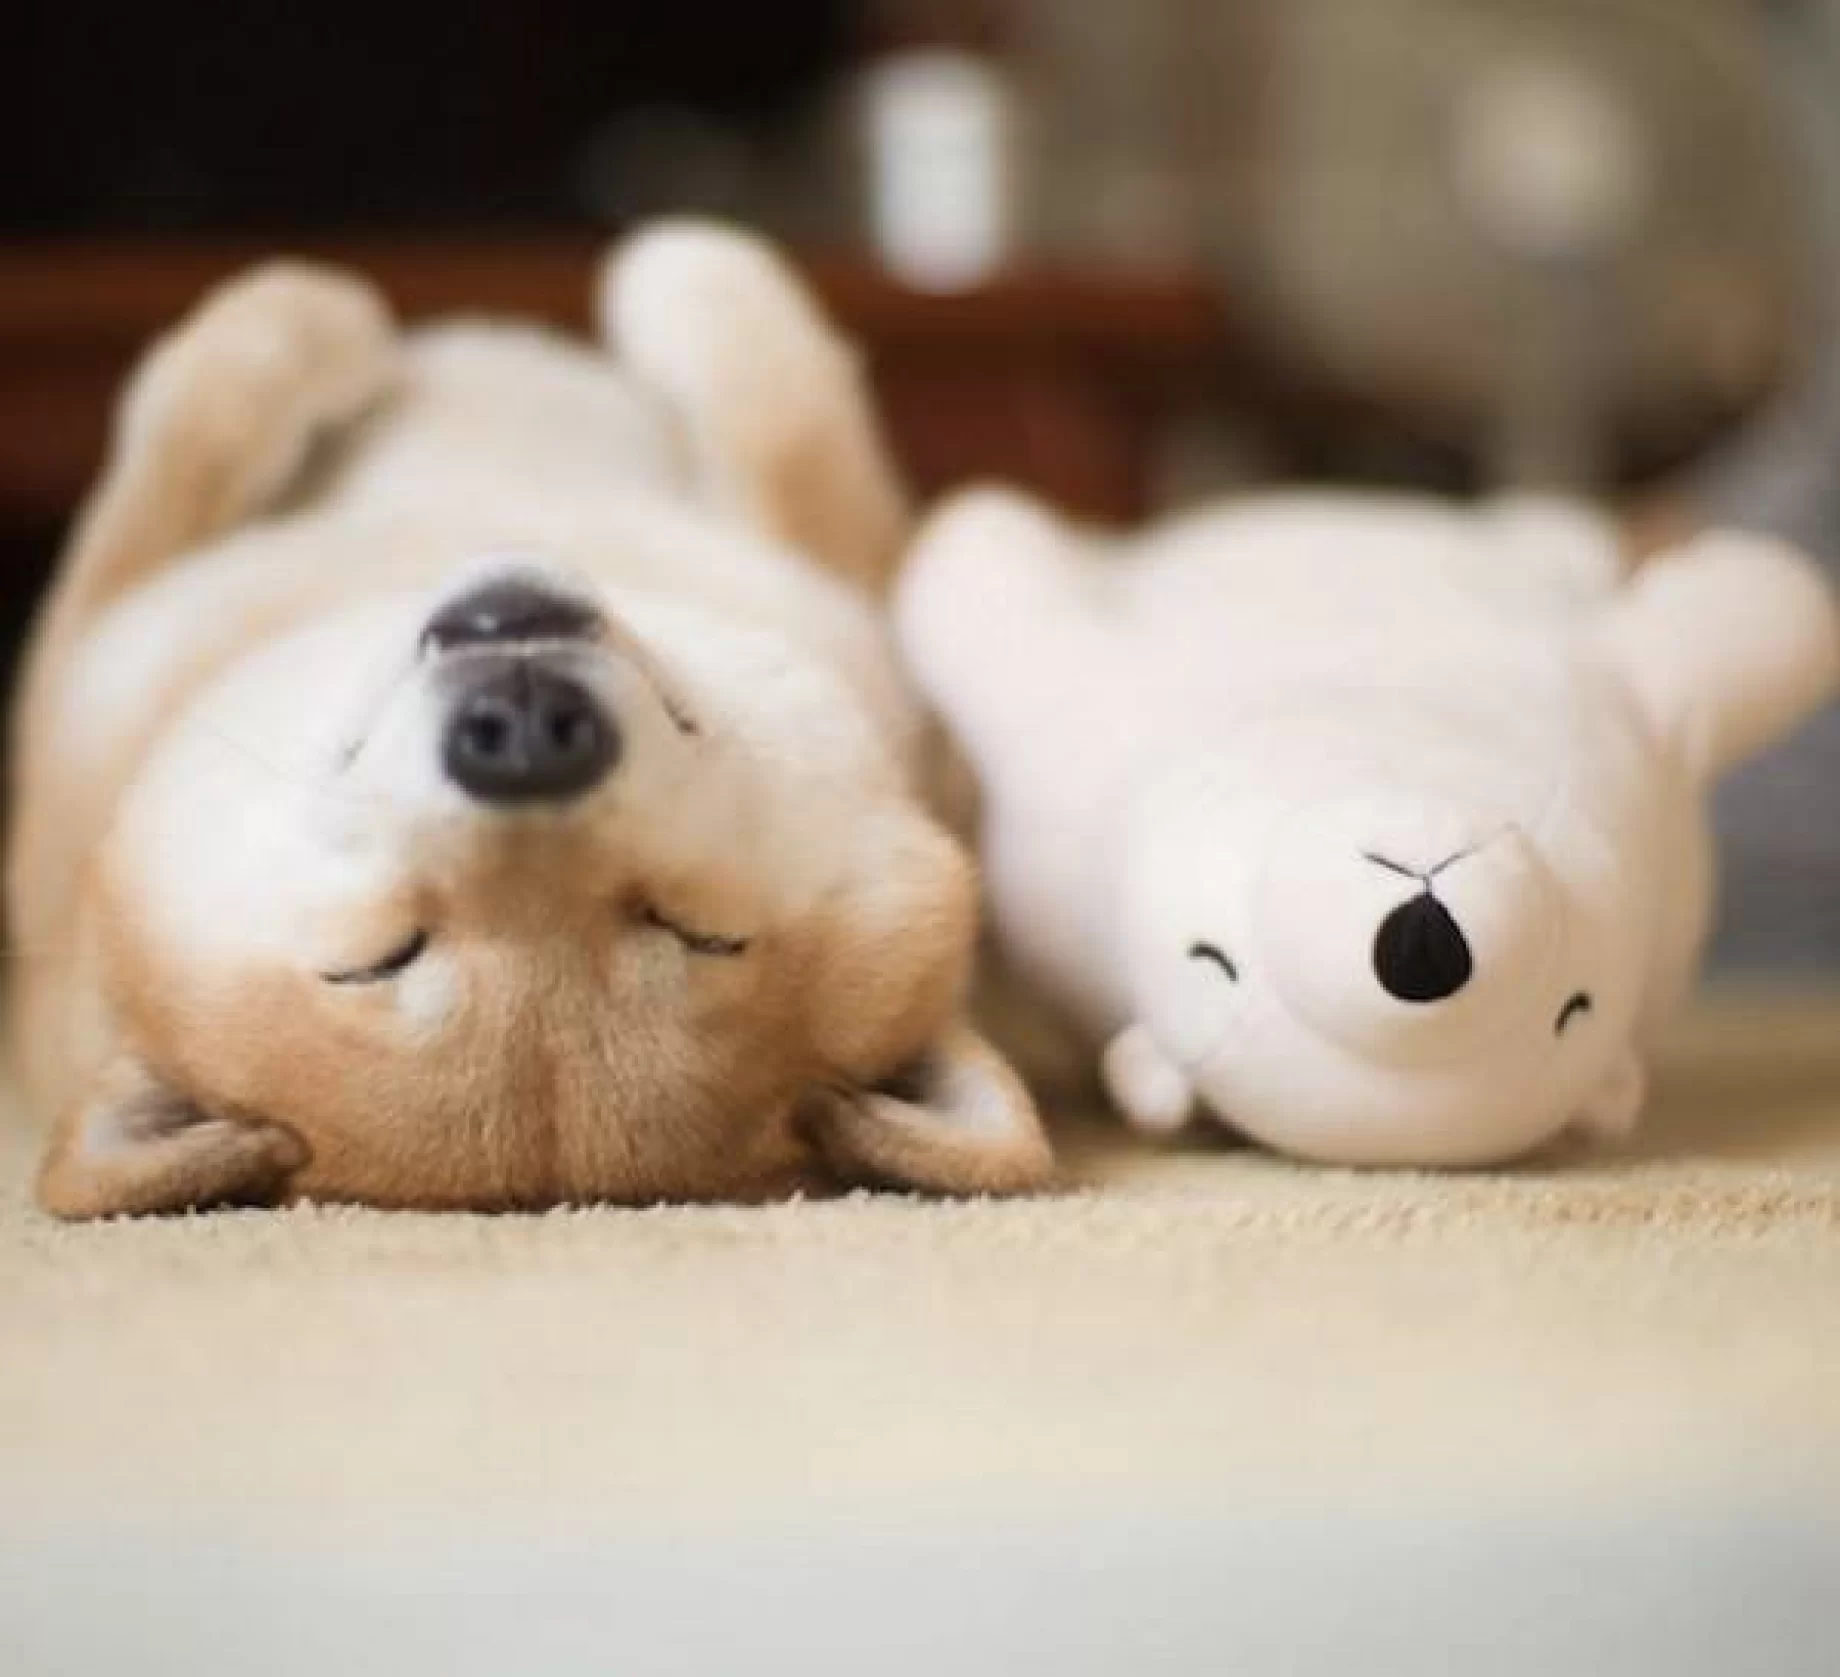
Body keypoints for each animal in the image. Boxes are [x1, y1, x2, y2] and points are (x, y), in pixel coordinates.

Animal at [8, 224, 1050, 1217]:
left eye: (700, 931)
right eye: (377, 959)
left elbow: (777, 396)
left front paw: (667, 270)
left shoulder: (856, 583)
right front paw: (314, 320)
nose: (521, 736)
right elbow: (187, 438)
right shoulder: (87, 660)